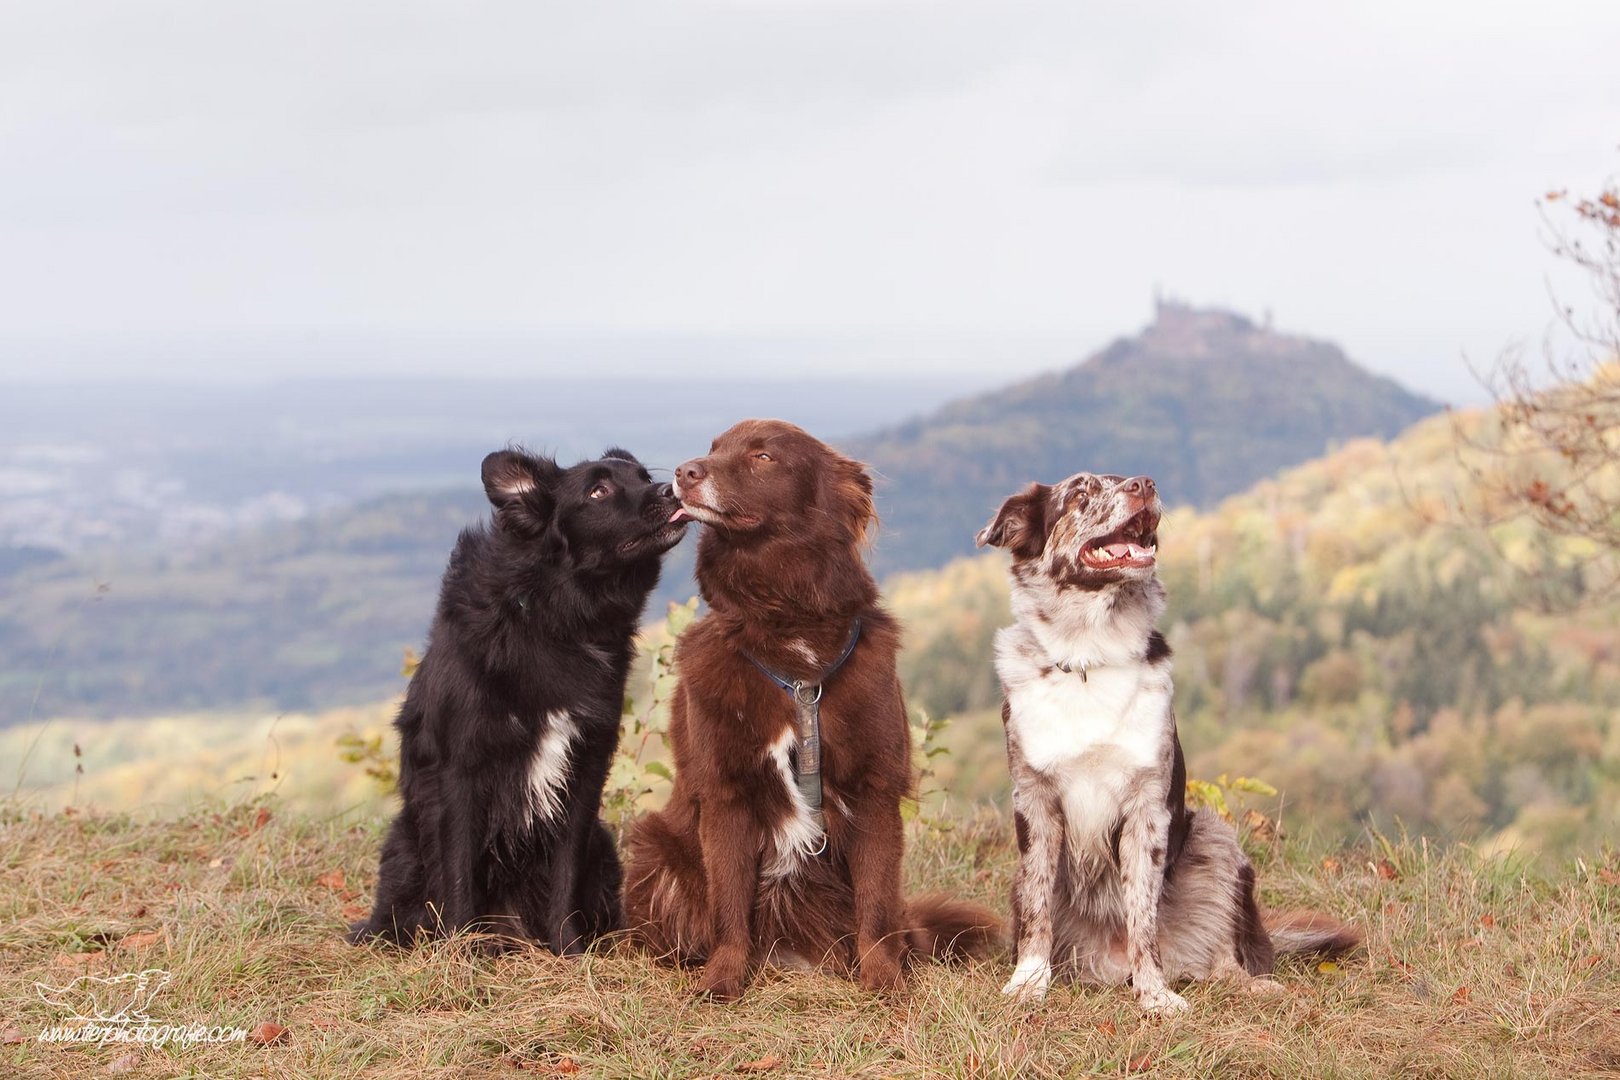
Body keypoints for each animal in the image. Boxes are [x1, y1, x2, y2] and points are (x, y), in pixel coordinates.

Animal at [351, 446, 686, 952]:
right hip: (406, 847)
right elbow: (458, 876)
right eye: (598, 490)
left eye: (645, 477)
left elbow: (565, 873)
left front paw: (569, 949)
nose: (674, 490)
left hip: (603, 847)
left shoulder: (585, 768)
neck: (558, 618)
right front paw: (461, 952)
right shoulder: (461, 769)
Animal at [618, 417, 997, 1003]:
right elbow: (729, 907)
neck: (787, 631)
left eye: (764, 456)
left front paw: (884, 982)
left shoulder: (874, 791)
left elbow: (874, 907)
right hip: (655, 846)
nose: (682, 473)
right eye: (713, 448)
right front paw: (722, 981)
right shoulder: (726, 793)